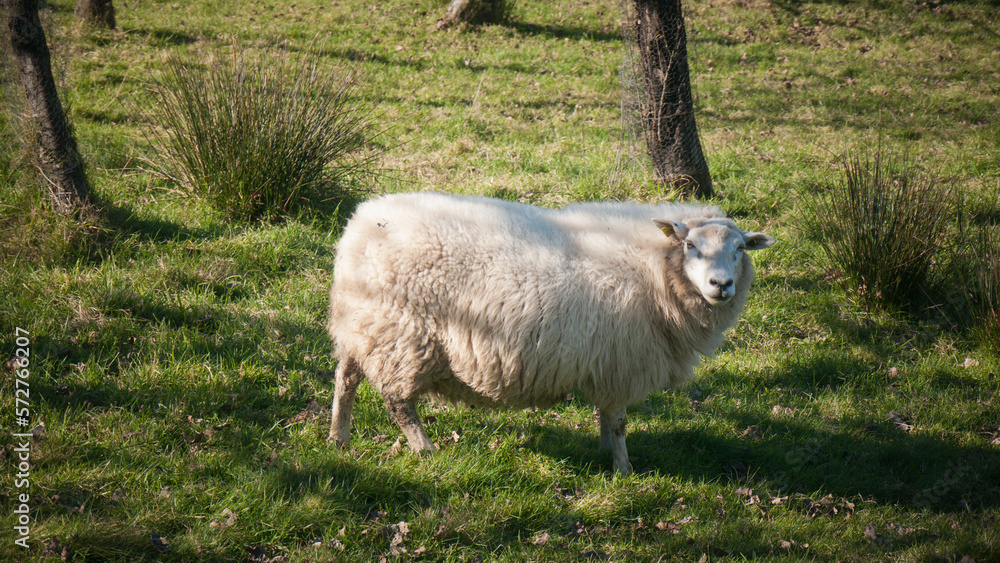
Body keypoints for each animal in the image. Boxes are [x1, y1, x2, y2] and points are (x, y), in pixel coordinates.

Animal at [326, 192, 775, 474]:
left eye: (739, 249)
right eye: (691, 246)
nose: (721, 285)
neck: (655, 268)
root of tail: (360, 224)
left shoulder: (607, 360)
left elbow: (605, 416)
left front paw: (604, 452)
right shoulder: (621, 360)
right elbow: (617, 420)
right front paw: (623, 468)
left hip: (361, 326)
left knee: (345, 379)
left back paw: (338, 439)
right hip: (401, 334)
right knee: (397, 402)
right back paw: (425, 450)